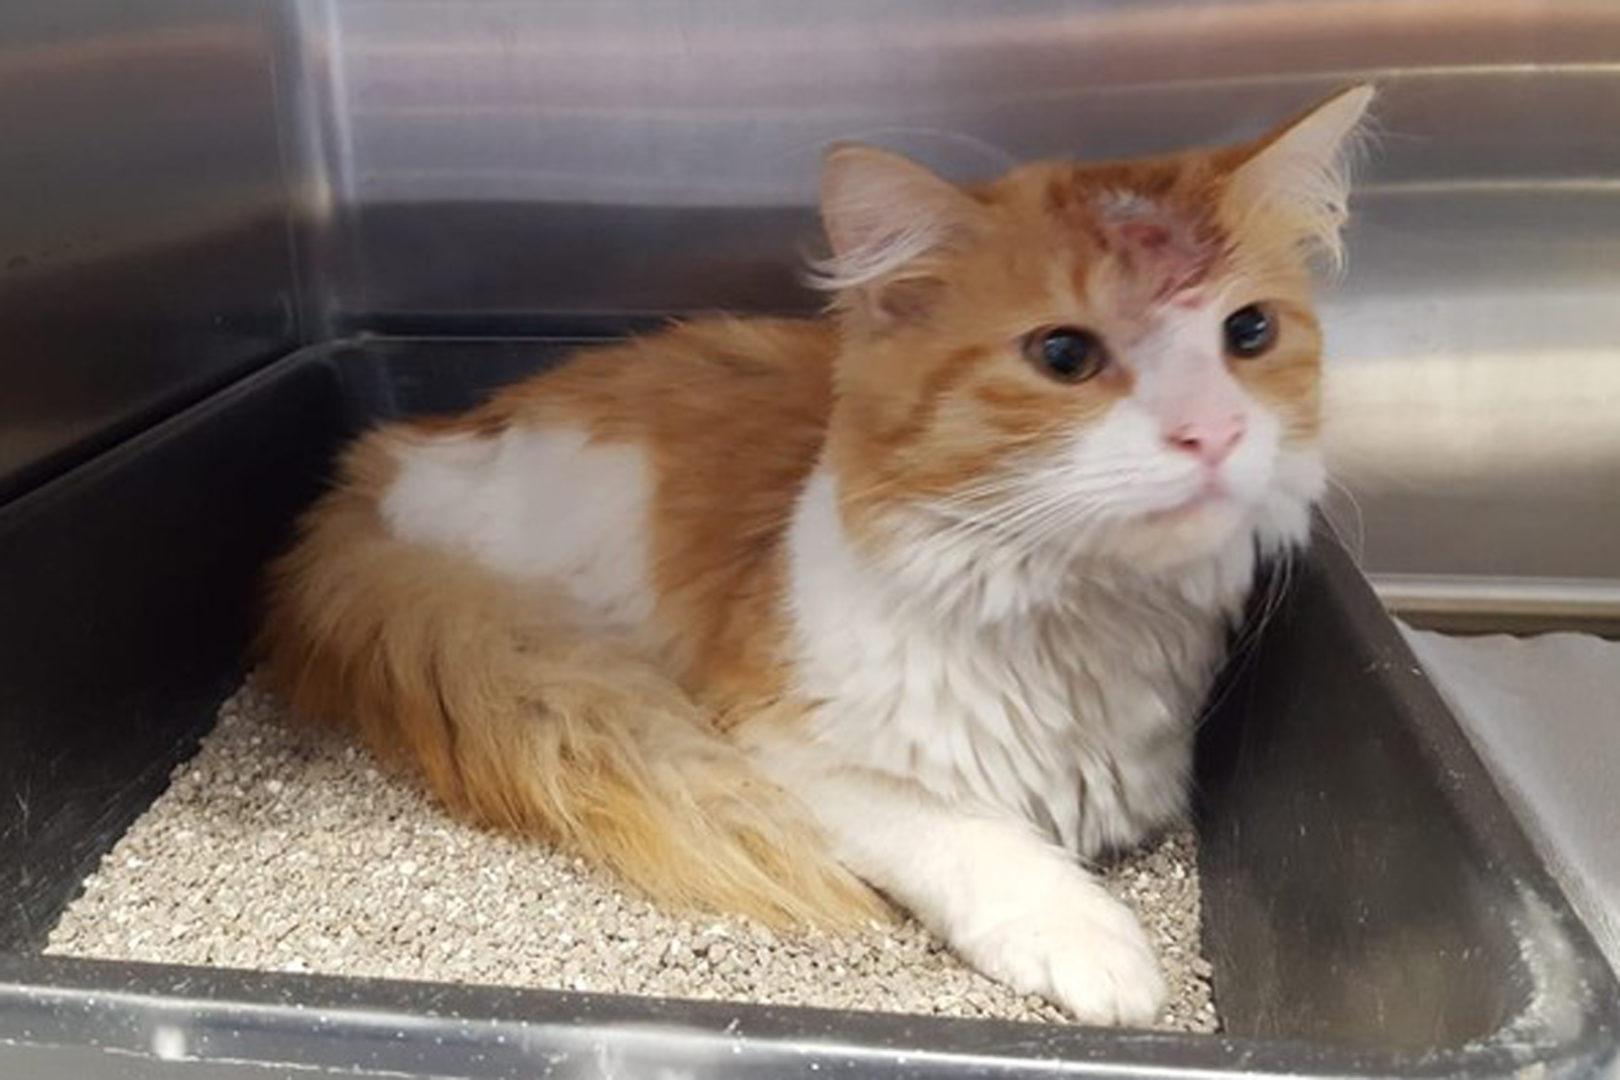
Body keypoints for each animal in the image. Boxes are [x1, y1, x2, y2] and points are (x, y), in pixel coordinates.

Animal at [260, 85, 1373, 1026]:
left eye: (1249, 333)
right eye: (1065, 356)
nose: (1211, 434)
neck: (1074, 614)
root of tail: (389, 452)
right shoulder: (783, 745)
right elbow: (970, 837)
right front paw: (1092, 943)